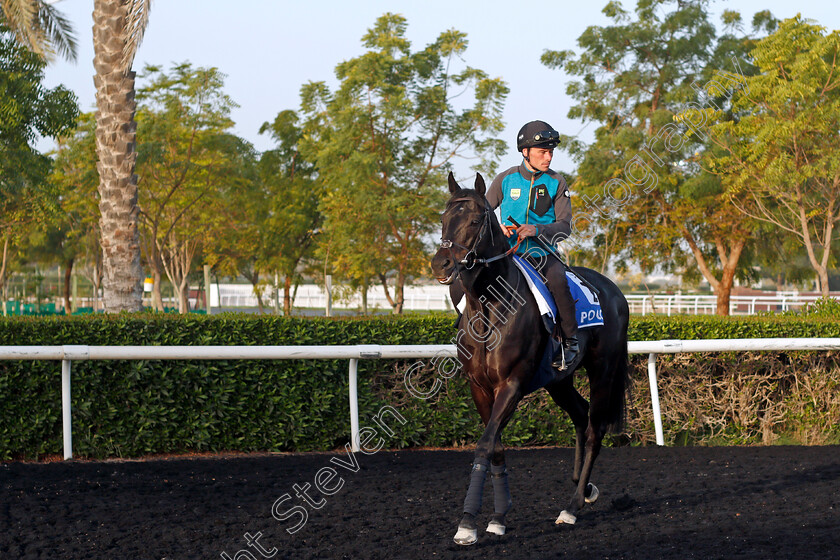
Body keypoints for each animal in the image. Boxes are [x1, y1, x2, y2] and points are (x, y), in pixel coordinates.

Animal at [430, 173, 628, 544]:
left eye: (474, 221)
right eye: (444, 218)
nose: (441, 263)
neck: (489, 309)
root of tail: (615, 291)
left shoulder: (513, 384)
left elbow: (484, 445)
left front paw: (468, 523)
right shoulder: (479, 387)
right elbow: (495, 447)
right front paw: (498, 517)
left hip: (603, 370)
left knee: (595, 429)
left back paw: (572, 507)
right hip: (559, 380)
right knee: (580, 415)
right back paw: (584, 488)